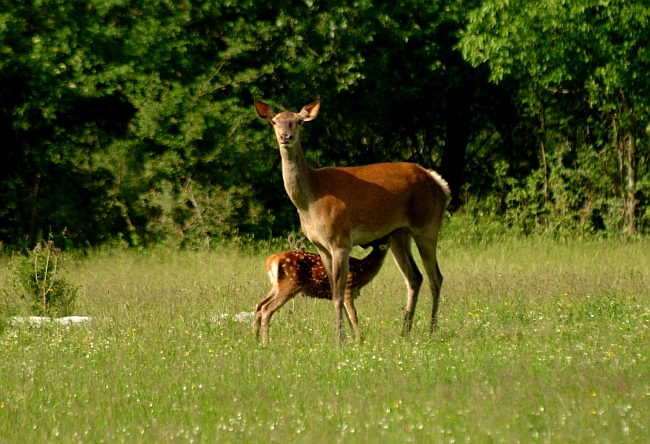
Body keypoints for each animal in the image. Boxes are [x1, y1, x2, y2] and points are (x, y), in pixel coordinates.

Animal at [254, 100, 450, 342]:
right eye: (274, 121)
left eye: (298, 122)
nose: (285, 136)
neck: (311, 201)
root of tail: (440, 183)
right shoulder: (321, 246)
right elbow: (333, 290)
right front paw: (348, 336)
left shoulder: (341, 240)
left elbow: (339, 293)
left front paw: (340, 339)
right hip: (399, 233)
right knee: (415, 277)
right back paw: (405, 332)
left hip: (428, 224)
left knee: (436, 277)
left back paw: (432, 330)